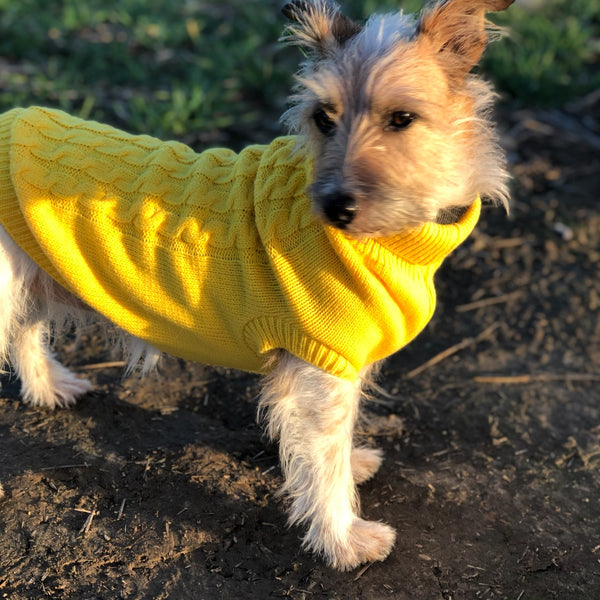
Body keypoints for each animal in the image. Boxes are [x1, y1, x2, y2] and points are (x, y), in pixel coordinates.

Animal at [1, 0, 516, 568]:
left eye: (402, 118)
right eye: (324, 117)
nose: (335, 207)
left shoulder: (316, 369)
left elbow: (318, 445)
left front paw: (348, 469)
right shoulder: (323, 369)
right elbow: (324, 460)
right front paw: (344, 540)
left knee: (25, 333)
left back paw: (51, 389)